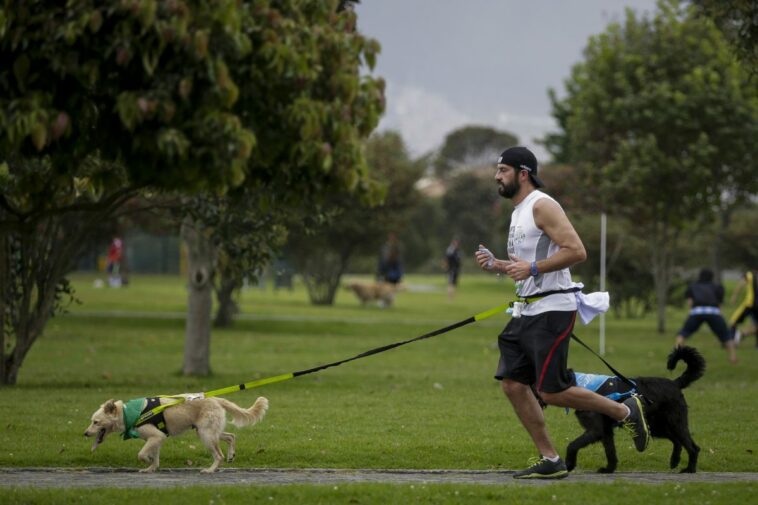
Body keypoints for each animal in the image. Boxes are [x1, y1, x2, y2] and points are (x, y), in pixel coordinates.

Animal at [85, 394, 270, 472]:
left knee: (219, 455)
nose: (85, 433)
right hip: (208, 432)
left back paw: (210, 470)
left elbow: (141, 454)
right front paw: (151, 468)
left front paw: (147, 463)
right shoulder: (157, 439)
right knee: (231, 436)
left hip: (206, 435)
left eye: (96, 422)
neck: (128, 413)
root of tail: (215, 399)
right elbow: (155, 457)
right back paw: (231, 455)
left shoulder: (156, 437)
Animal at [564, 346, 708, 472]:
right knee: (677, 441)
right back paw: (675, 460)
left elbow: (573, 445)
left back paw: (690, 469)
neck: (580, 384)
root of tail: (674, 383)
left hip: (675, 423)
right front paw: (609, 469)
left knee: (693, 447)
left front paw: (569, 464)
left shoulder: (596, 430)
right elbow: (610, 452)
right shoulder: (606, 431)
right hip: (656, 426)